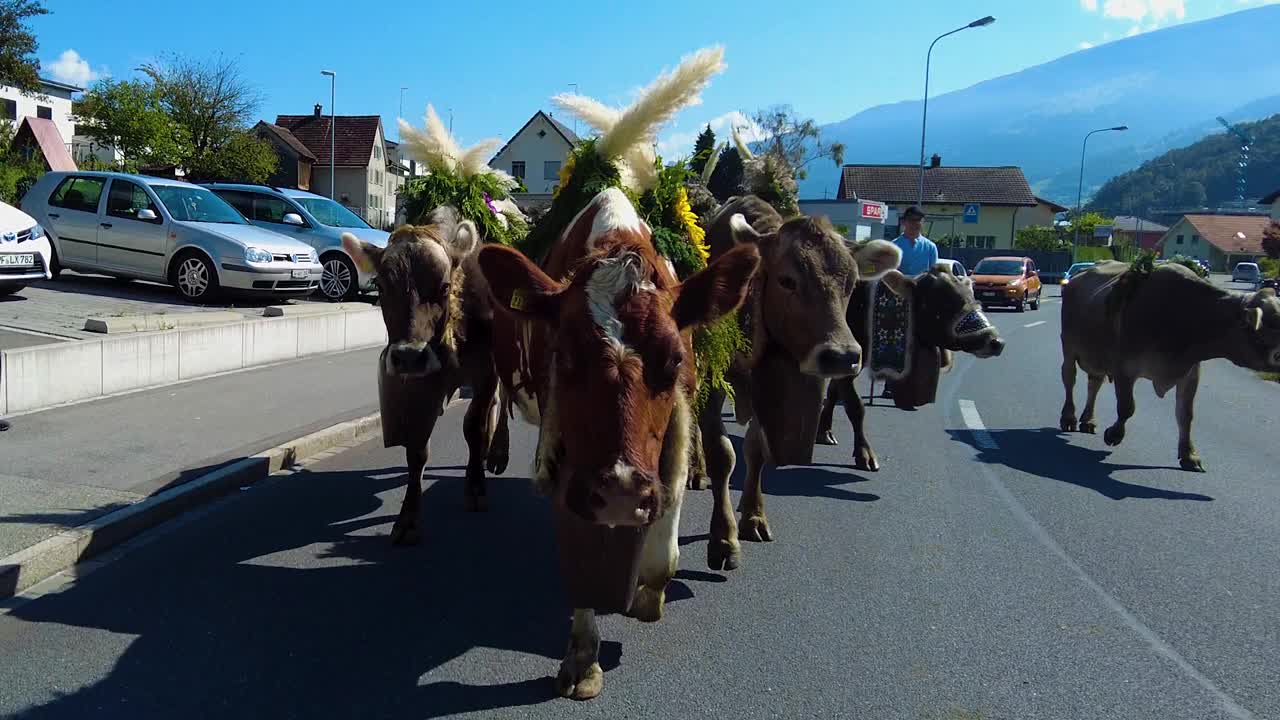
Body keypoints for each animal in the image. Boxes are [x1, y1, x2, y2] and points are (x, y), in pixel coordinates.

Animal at [343, 207, 506, 543]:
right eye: (381, 286)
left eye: (443, 286)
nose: (408, 355)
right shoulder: (420, 380)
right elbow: (417, 448)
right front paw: (408, 519)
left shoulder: (486, 369)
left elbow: (473, 427)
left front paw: (475, 488)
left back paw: (496, 453)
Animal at [478, 184, 757, 696]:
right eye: (565, 355)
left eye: (673, 359)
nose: (621, 491)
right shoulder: (568, 460)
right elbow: (582, 563)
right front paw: (583, 659)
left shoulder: (672, 438)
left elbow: (664, 552)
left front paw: (647, 593)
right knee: (496, 398)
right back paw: (496, 451)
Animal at [696, 193, 906, 568]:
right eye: (787, 280)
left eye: (851, 283)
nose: (842, 355)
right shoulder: (712, 376)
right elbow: (722, 453)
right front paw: (723, 539)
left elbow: (756, 451)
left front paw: (753, 516)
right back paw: (696, 472)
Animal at [814, 266, 1003, 468]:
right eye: (945, 302)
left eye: (972, 297)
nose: (996, 342)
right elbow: (855, 407)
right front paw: (864, 454)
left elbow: (833, 393)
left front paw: (824, 432)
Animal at [1059, 260, 1280, 468]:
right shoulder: (1124, 368)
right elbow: (1127, 407)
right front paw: (1114, 434)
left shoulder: (1190, 372)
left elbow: (1185, 415)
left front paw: (1189, 455)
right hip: (1069, 348)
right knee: (1069, 380)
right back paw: (1069, 418)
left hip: (1097, 357)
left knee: (1094, 384)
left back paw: (1088, 420)